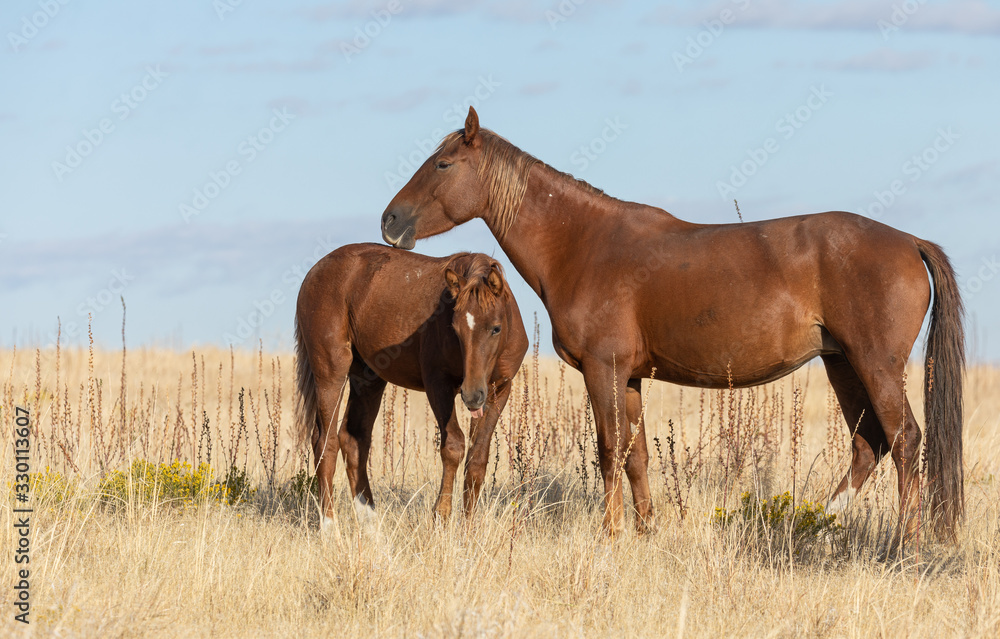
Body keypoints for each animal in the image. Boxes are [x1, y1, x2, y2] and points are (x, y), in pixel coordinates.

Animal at [292, 242, 532, 528]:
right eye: (455, 329)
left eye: (496, 328)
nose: (472, 395)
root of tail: (314, 272)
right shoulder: (438, 385)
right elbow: (453, 446)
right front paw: (441, 517)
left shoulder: (499, 390)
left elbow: (477, 458)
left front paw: (468, 528)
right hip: (331, 372)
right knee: (325, 442)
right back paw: (330, 528)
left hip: (368, 378)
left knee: (353, 439)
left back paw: (371, 525)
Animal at [378, 107, 964, 544]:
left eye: (443, 165)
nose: (390, 220)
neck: (583, 244)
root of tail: (909, 241)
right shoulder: (631, 376)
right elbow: (635, 456)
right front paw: (644, 531)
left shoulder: (604, 369)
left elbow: (608, 450)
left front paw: (611, 533)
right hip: (843, 364)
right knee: (870, 446)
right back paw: (819, 524)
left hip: (875, 364)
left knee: (906, 440)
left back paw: (905, 543)